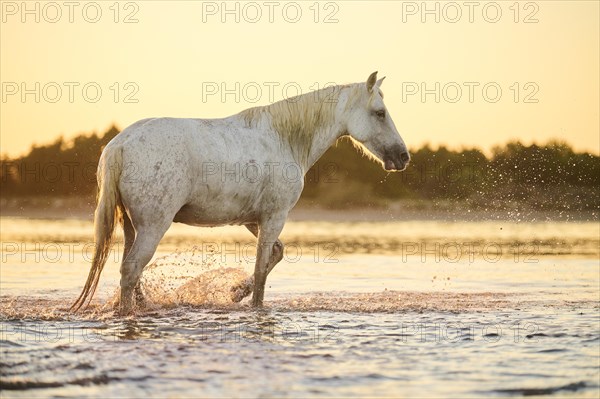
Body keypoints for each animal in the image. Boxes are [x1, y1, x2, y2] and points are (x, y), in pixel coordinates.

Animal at [70, 72, 408, 316]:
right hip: (153, 226)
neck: (285, 139)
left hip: (131, 225)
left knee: (131, 269)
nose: (403, 157)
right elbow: (261, 269)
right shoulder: (274, 217)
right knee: (131, 270)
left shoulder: (252, 219)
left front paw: (236, 293)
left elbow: (275, 255)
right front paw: (253, 305)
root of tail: (120, 144)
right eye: (379, 113)